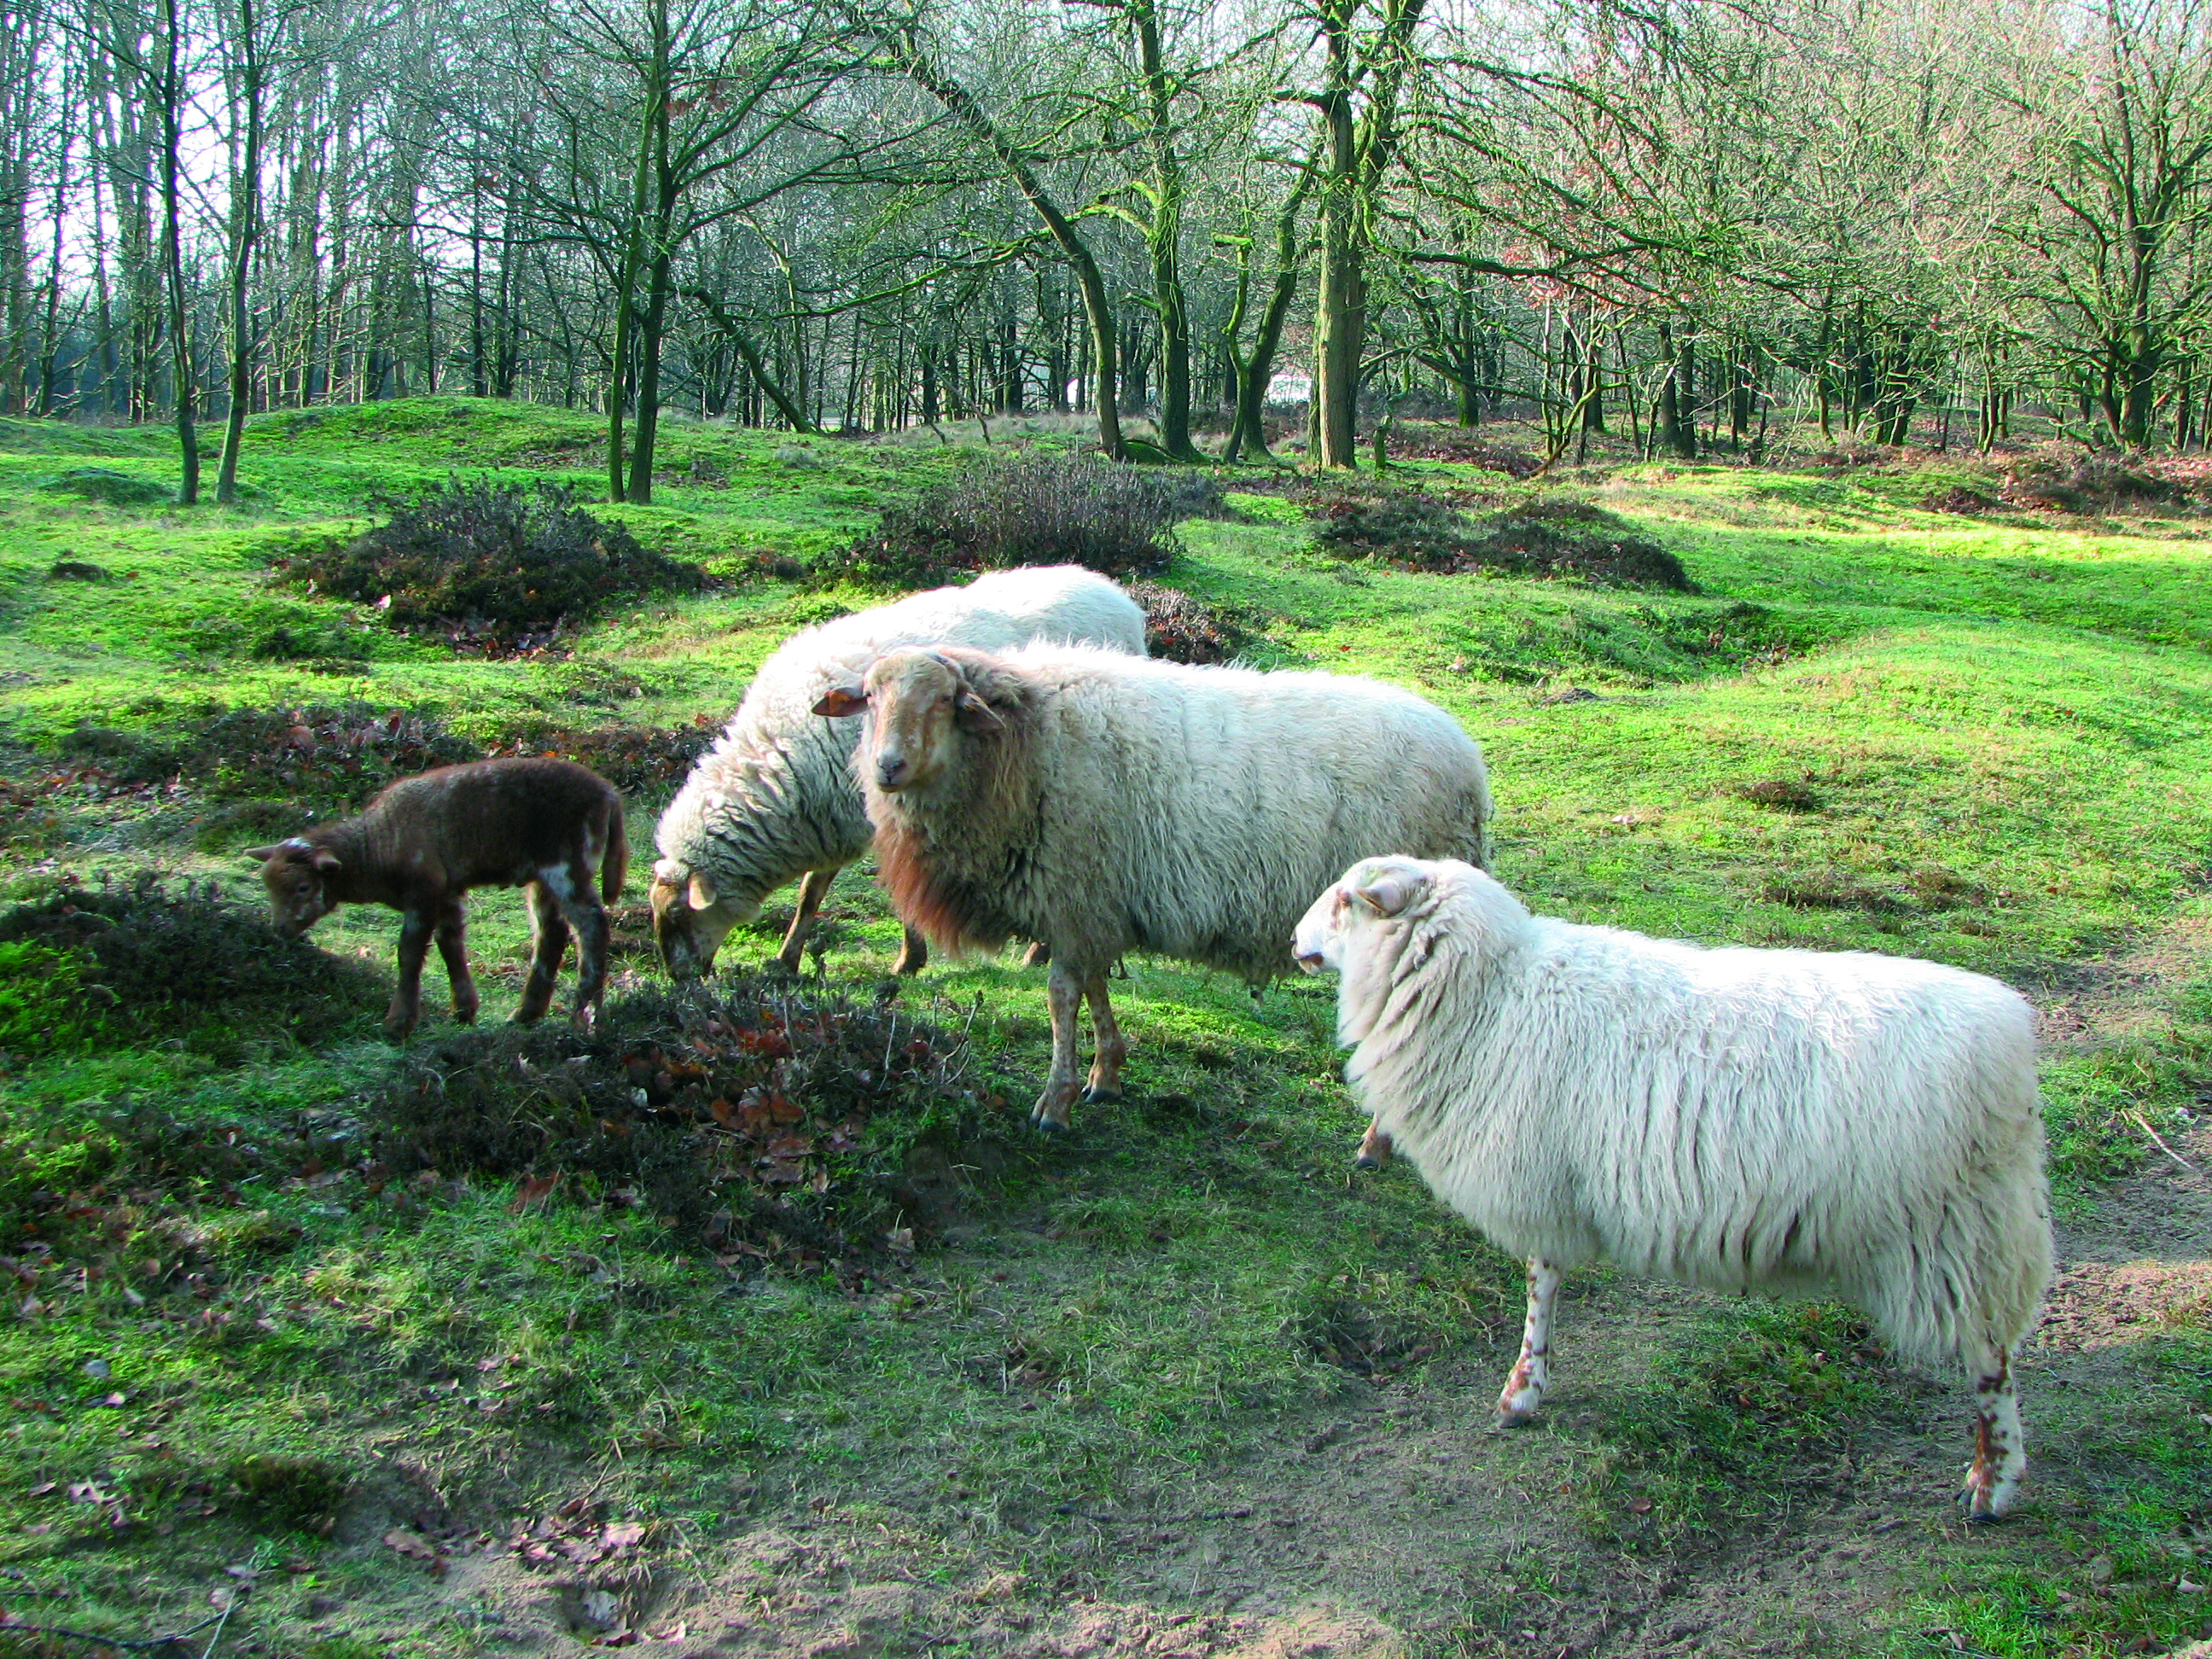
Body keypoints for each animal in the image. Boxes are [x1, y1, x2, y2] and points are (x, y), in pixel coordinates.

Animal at [251, 756, 632, 1039]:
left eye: (302, 888)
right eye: (268, 886)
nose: (278, 929)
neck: (376, 845)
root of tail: (608, 794)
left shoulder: (423, 889)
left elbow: (408, 953)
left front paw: (398, 1024)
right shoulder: (446, 892)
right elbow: (450, 945)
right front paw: (463, 1010)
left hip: (567, 864)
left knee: (592, 926)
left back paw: (585, 1015)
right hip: (542, 875)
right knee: (551, 933)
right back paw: (526, 1014)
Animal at [645, 570, 1141, 987]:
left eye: (679, 916)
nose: (678, 981)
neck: (781, 763)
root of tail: (1115, 594)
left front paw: (906, 961)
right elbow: (812, 893)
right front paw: (788, 959)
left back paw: (1040, 951)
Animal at [823, 641, 1495, 1141]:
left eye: (944, 700)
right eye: (871, 698)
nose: (887, 767)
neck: (1023, 741)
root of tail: (1470, 765)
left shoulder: (1075, 888)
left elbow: (1061, 996)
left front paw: (1054, 1105)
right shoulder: (1094, 901)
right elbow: (1094, 983)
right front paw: (1105, 1074)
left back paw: (1377, 1141)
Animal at [1291, 862, 2052, 1530]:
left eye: (1346, 901)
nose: (1294, 941)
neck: (1493, 991)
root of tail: (2014, 1037)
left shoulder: (1540, 1182)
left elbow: (1540, 1286)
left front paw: (1522, 1391)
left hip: (1961, 1235)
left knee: (1993, 1364)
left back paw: (1993, 1483)